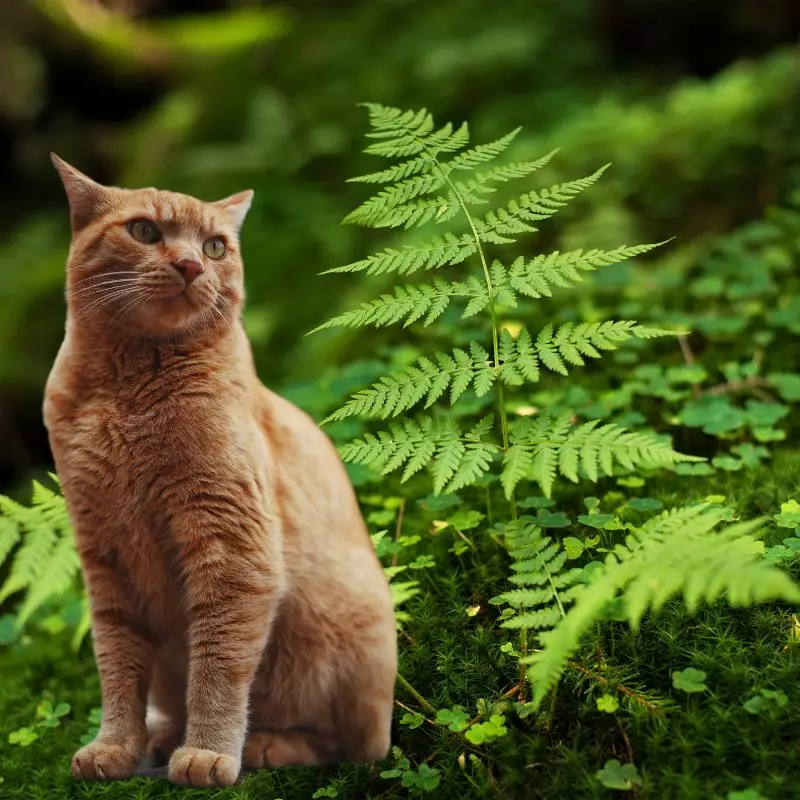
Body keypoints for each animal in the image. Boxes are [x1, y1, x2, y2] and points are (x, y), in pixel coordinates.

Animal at [42, 155, 398, 788]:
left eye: (214, 246)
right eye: (144, 231)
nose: (189, 264)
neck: (125, 394)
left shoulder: (232, 545)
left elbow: (218, 665)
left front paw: (208, 752)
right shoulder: (105, 555)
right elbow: (117, 667)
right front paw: (116, 747)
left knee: (349, 746)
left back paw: (264, 745)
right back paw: (162, 736)